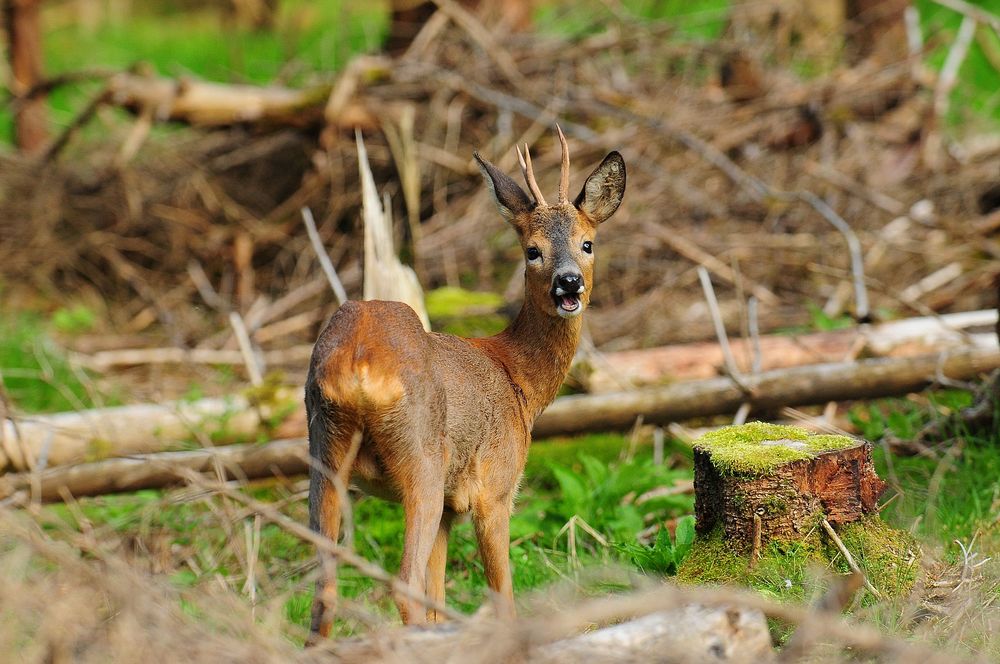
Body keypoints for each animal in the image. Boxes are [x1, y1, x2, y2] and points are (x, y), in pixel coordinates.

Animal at [306, 127, 624, 640]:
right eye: (532, 250)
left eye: (588, 243)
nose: (569, 283)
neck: (519, 380)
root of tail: (358, 362)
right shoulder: (494, 487)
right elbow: (502, 595)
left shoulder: (450, 510)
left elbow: (439, 597)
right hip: (422, 460)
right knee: (402, 584)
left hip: (324, 449)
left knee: (326, 587)